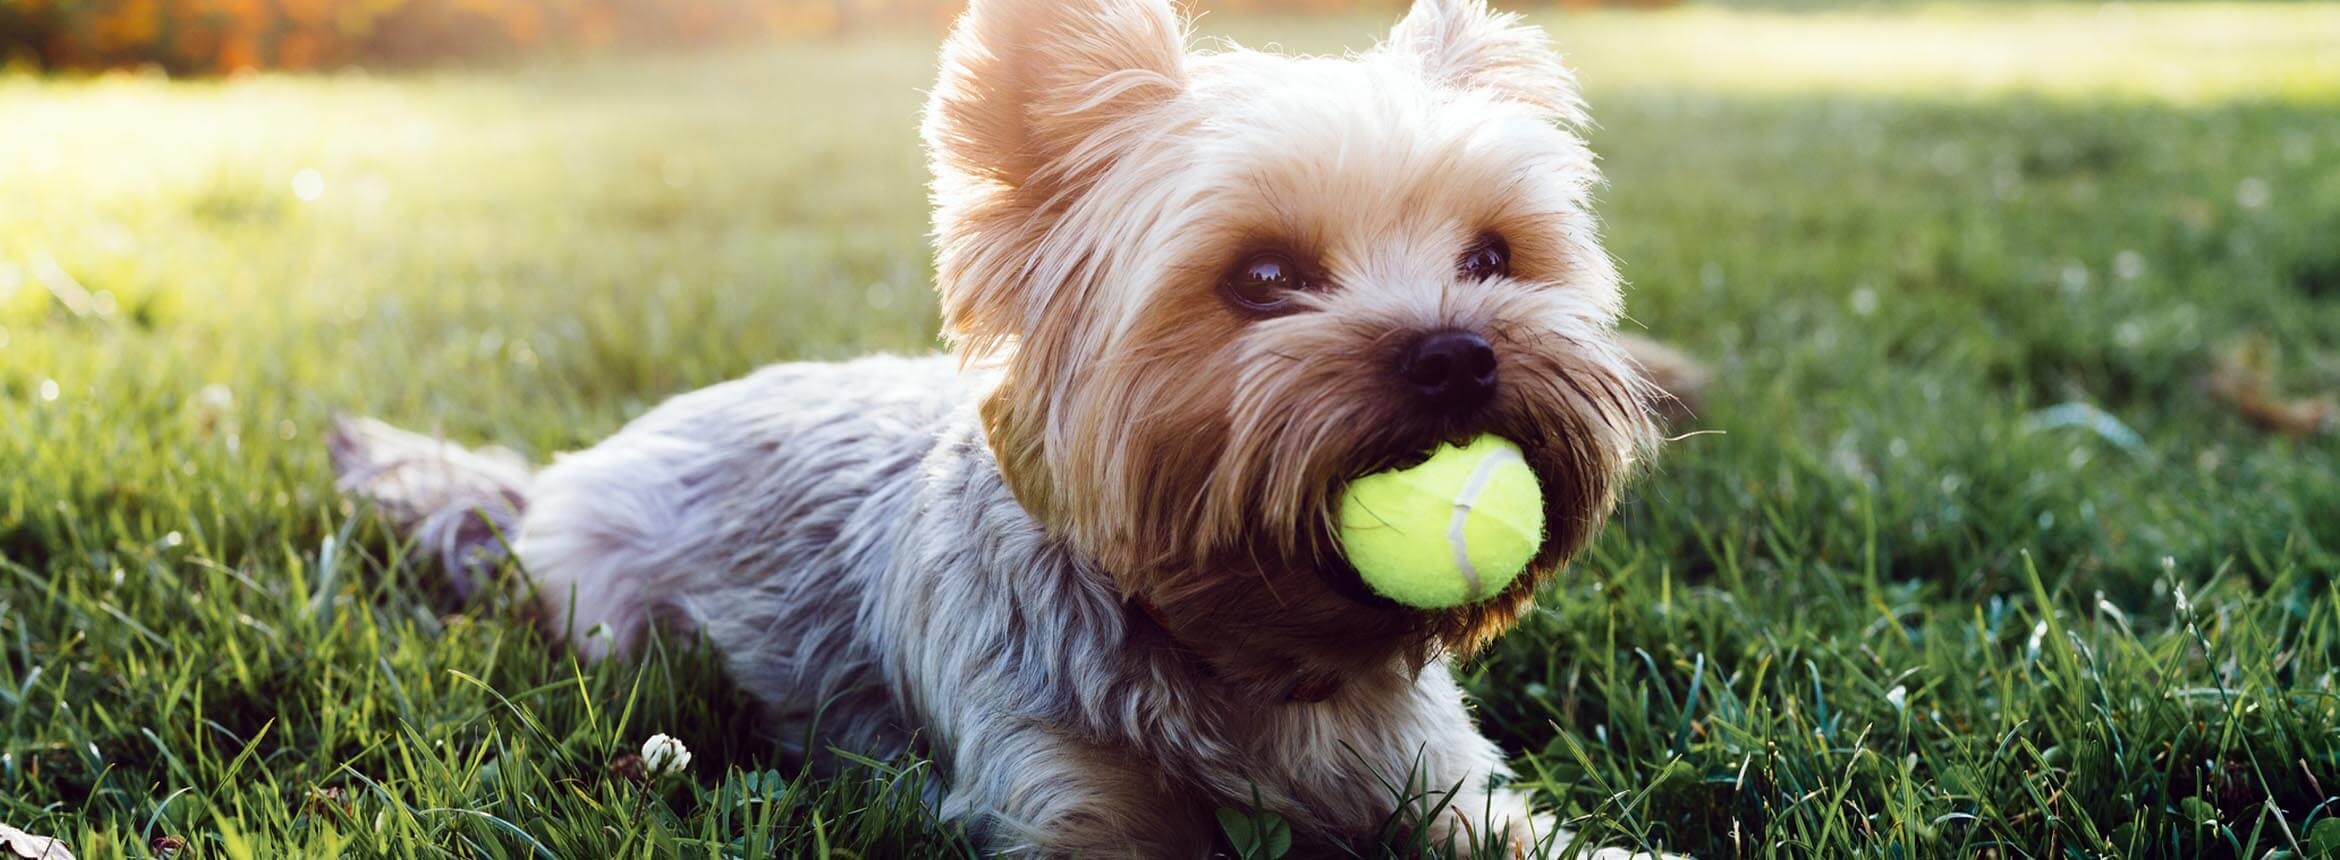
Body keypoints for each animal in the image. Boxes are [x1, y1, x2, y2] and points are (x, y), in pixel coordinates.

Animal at [329, 0, 1694, 855]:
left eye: (1492, 256)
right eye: (1261, 278)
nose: (1459, 353)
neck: (1256, 655)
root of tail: (567, 468)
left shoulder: (1449, 787)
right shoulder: (1062, 796)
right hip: (612, 618)